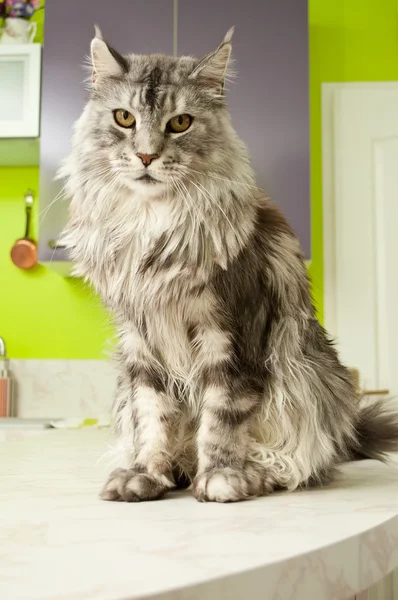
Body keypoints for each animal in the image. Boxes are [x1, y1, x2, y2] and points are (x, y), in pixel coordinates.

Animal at [59, 24, 398, 502]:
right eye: (124, 118)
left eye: (179, 123)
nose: (146, 156)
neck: (152, 223)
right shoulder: (142, 342)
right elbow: (152, 419)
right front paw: (144, 475)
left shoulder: (232, 334)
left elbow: (222, 419)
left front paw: (221, 477)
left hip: (309, 382)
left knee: (298, 461)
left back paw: (254, 476)